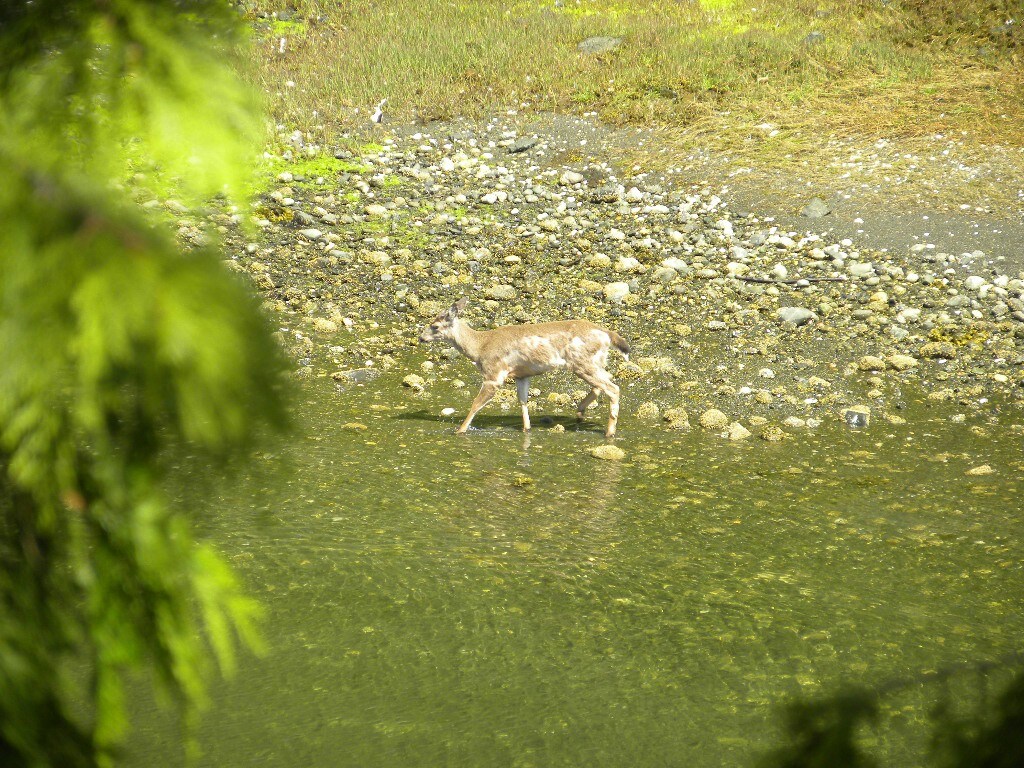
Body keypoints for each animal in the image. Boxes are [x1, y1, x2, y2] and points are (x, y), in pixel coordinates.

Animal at [417, 296, 630, 436]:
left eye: (435, 326)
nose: (421, 338)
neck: (480, 347)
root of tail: (607, 334)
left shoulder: (494, 374)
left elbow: (476, 404)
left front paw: (459, 430)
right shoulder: (521, 375)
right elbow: (523, 401)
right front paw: (526, 429)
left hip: (582, 363)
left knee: (613, 388)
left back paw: (609, 432)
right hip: (594, 362)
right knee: (602, 385)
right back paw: (580, 412)